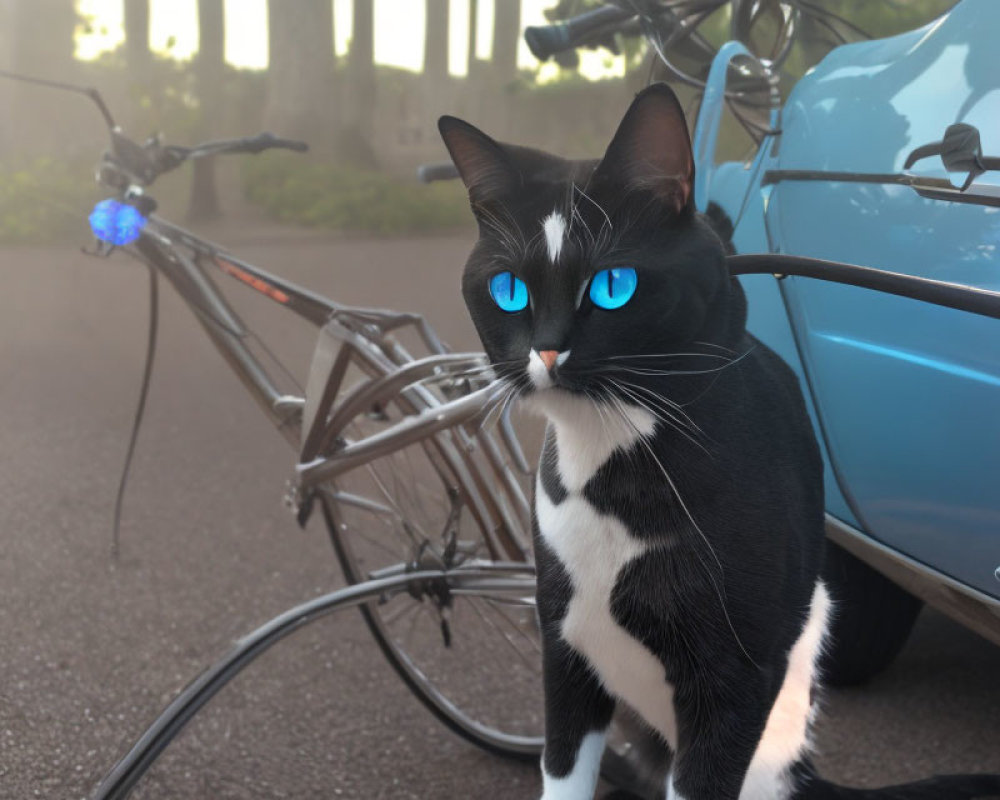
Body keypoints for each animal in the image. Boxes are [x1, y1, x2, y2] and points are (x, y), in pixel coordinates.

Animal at [438, 83, 1000, 800]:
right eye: (508, 290)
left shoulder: (734, 679)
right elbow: (561, 770)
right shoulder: (563, 646)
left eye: (613, 286)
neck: (615, 464)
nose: (548, 349)